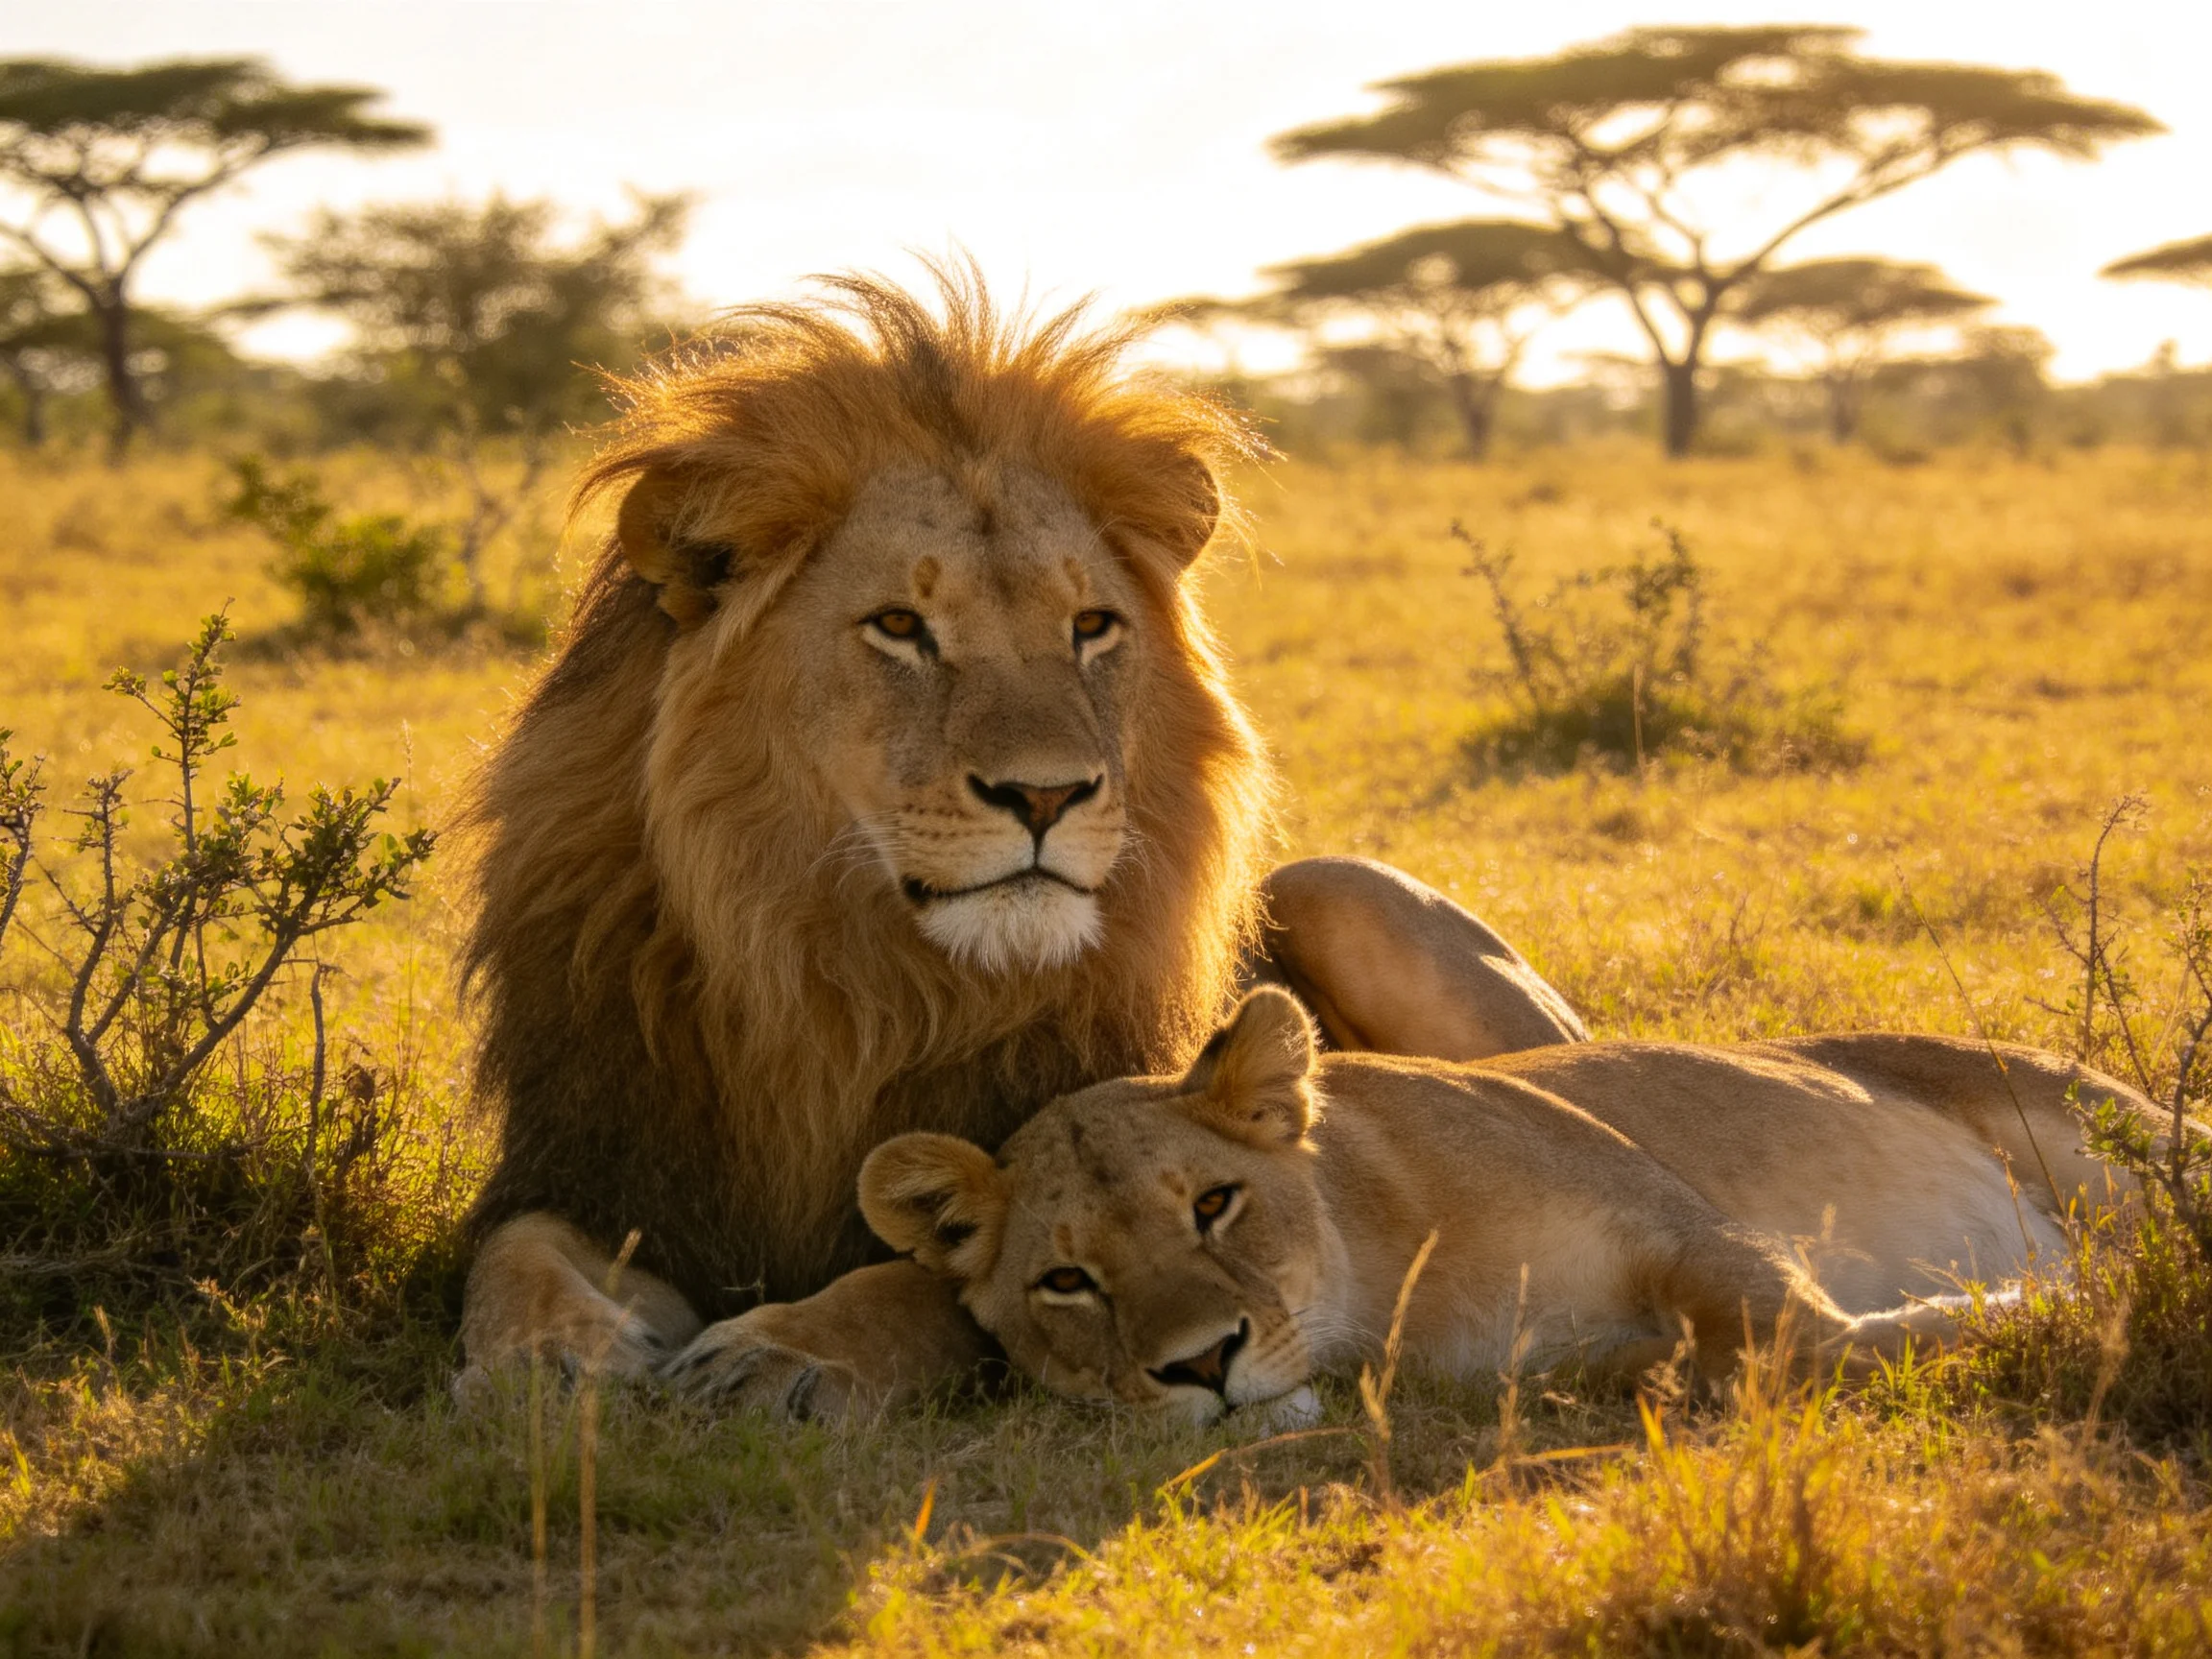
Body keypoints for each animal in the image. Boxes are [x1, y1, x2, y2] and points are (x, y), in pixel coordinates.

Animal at [456, 267, 1586, 1414]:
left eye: (1090, 626)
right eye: (900, 627)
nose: (1046, 795)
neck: (846, 985)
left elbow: (915, 1285)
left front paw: (779, 1354)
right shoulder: (607, 1163)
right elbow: (512, 1253)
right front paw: (547, 1358)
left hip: (1335, 891)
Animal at [859, 987, 2147, 1422]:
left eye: (1215, 1204)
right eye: (1065, 1280)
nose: (1200, 1367)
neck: (1400, 1287)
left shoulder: (1678, 1219)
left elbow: (1795, 1338)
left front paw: (2025, 1304)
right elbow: (1728, 1360)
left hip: (2096, 1133)